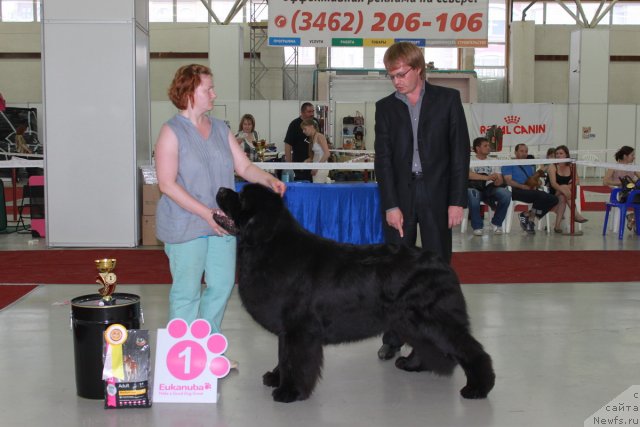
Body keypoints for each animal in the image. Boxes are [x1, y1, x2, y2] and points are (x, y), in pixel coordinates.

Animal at [215, 185, 496, 404]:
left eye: (241, 198)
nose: (220, 190)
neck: (268, 244)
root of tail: (443, 263)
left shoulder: (299, 329)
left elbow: (295, 359)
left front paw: (290, 391)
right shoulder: (288, 329)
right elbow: (283, 356)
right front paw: (277, 378)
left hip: (434, 318)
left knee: (470, 348)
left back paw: (478, 387)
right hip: (410, 321)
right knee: (425, 343)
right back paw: (412, 365)